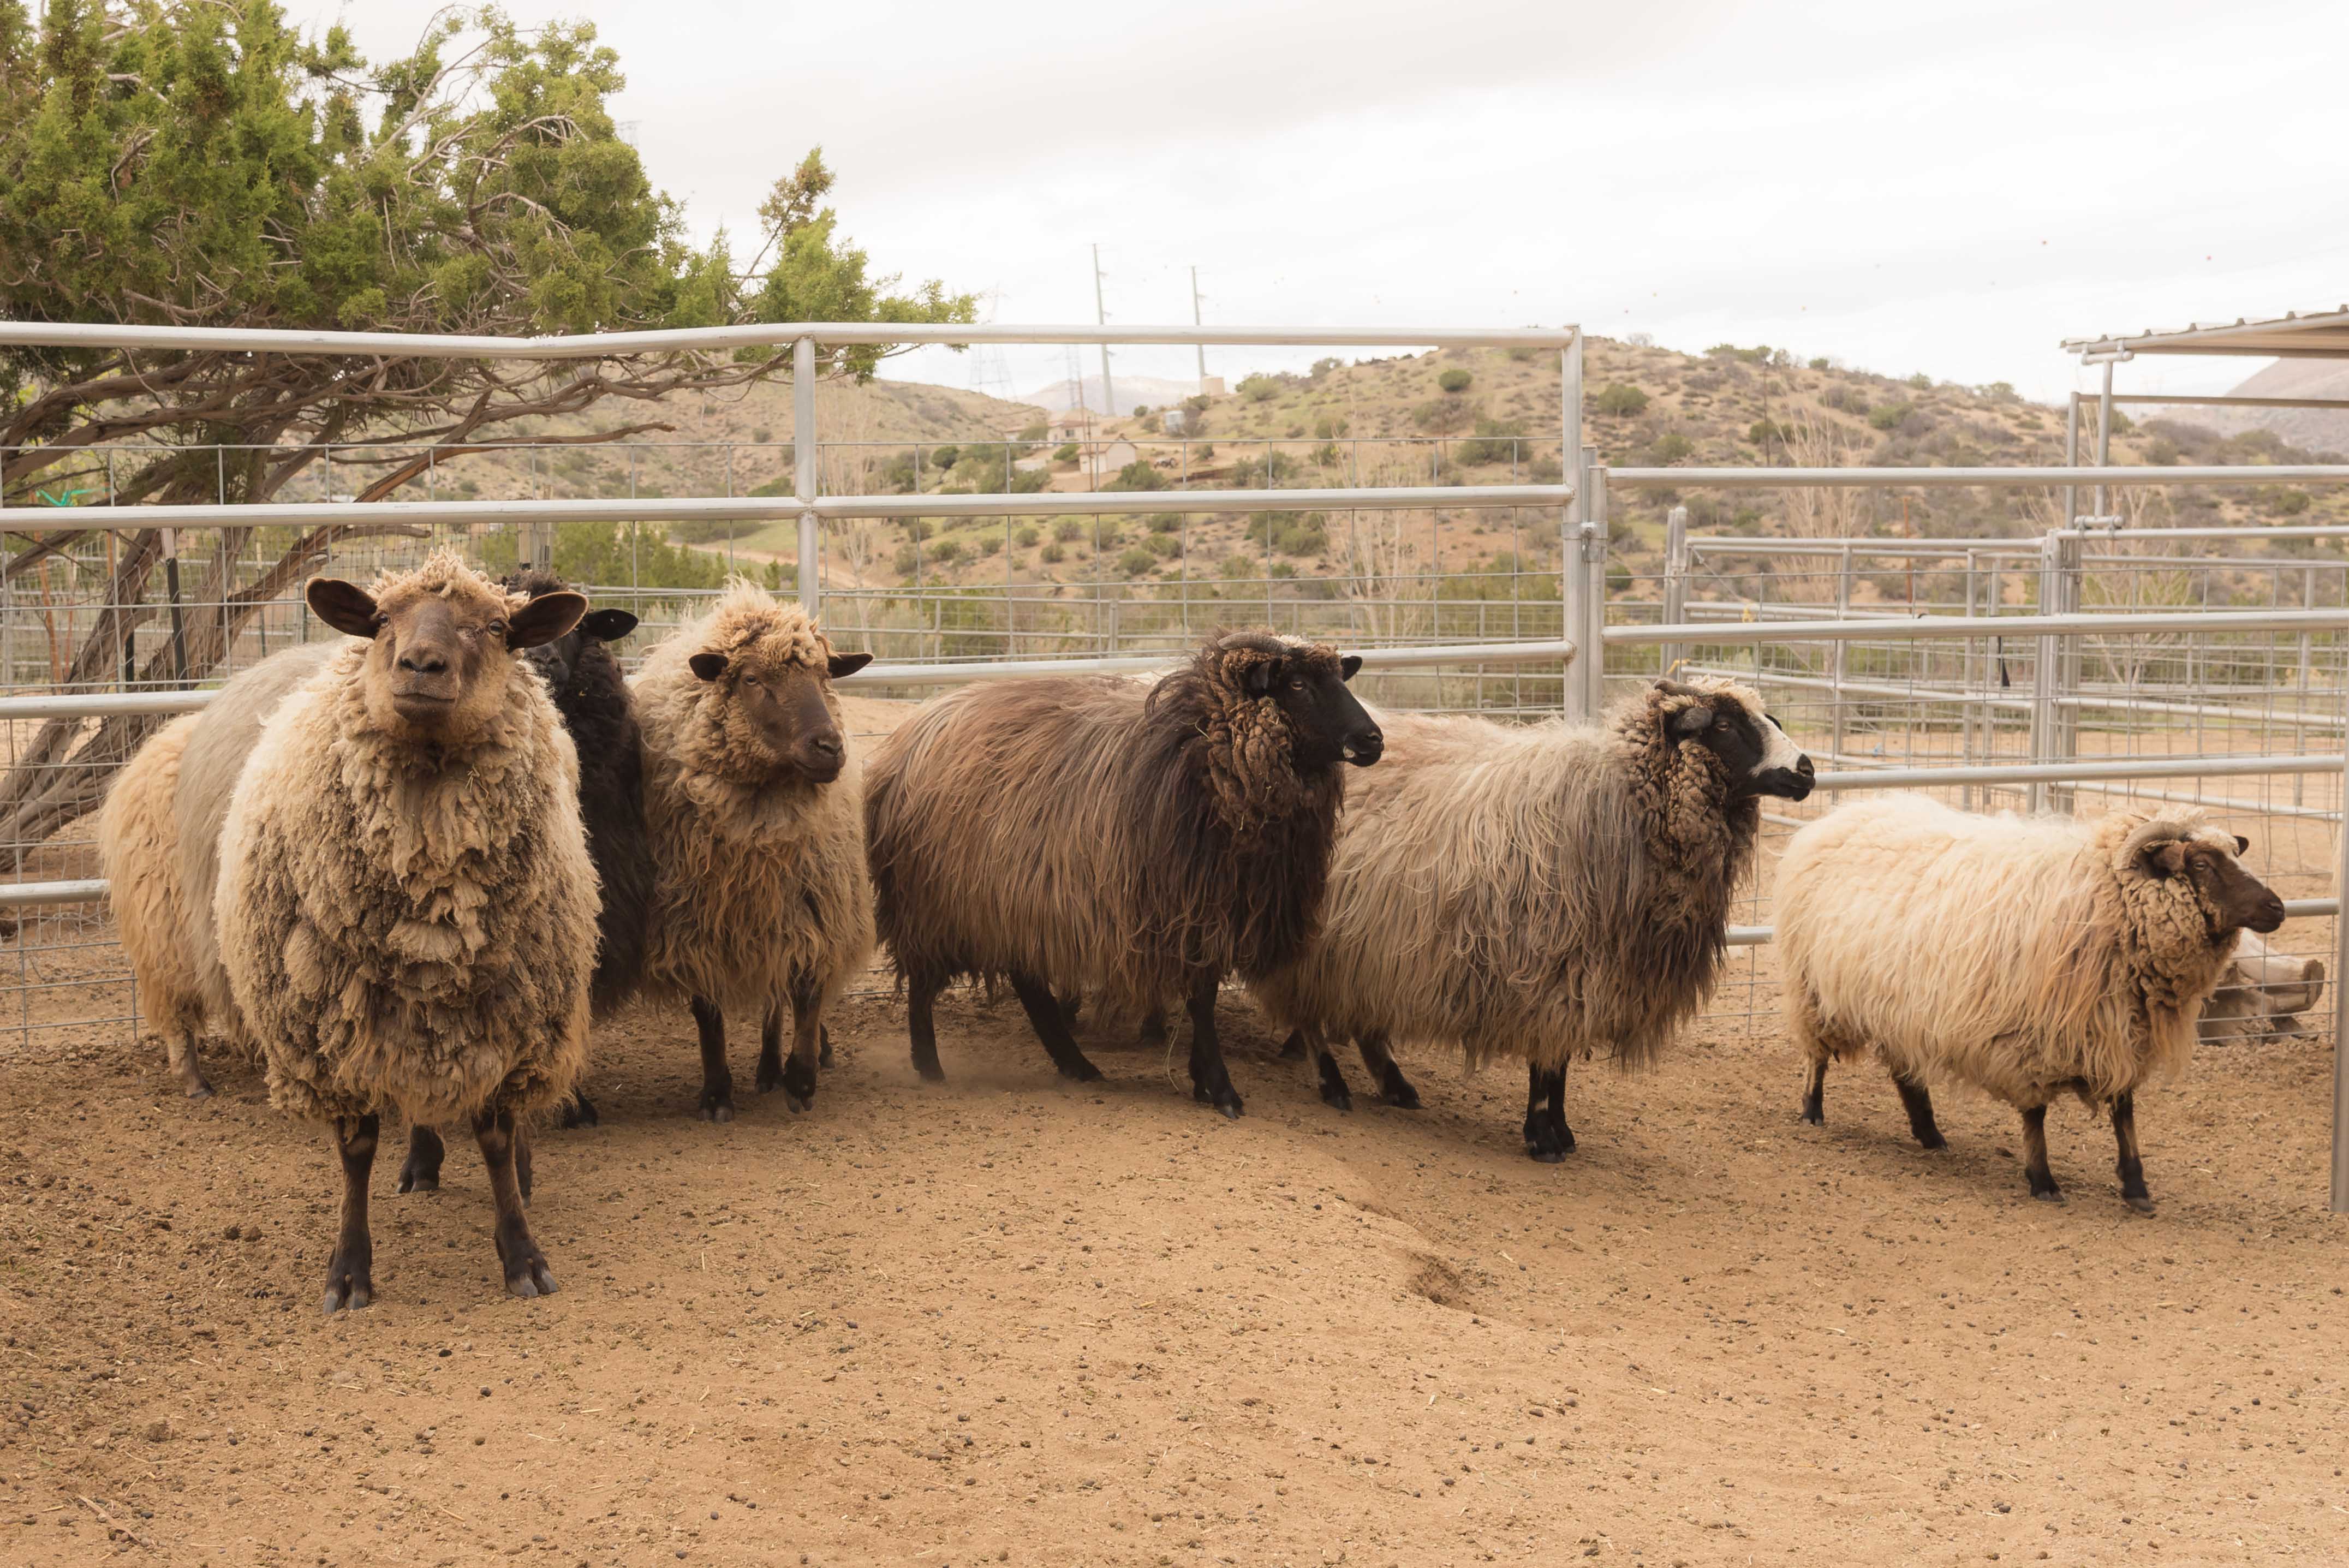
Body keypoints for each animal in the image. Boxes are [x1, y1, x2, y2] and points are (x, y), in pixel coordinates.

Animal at [211, 550, 600, 1308]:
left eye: (497, 626)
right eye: (382, 618)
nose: (421, 664)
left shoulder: (504, 1018)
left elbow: (496, 1134)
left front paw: (522, 1254)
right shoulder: (331, 1034)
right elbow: (357, 1147)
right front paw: (348, 1271)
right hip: (405, 1015)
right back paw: (420, 1162)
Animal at [632, 580, 874, 1123]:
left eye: (825, 675)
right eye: (750, 678)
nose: (830, 747)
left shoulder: (814, 905)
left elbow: (806, 994)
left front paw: (801, 1079)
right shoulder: (692, 922)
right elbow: (708, 1013)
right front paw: (717, 1092)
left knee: (781, 993)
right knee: (770, 995)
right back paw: (765, 1069)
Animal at [863, 630, 1384, 1117]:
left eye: (1341, 679)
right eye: (1296, 684)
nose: (1373, 740)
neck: (1201, 756)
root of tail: (912, 732)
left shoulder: (1217, 907)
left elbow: (1204, 996)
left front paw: (1201, 1076)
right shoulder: (1186, 910)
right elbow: (1202, 1001)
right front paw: (1220, 1088)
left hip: (1010, 899)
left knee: (1028, 984)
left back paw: (1076, 1065)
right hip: (935, 902)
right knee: (924, 985)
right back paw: (930, 1066)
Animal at [1253, 676, 1814, 1160]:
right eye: (1725, 725)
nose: (1808, 770)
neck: (1622, 801)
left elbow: (1558, 1063)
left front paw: (1561, 1131)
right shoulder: (1553, 967)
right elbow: (1548, 1063)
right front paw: (1543, 1136)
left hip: (1372, 942)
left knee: (1362, 1016)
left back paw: (1396, 1086)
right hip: (1317, 939)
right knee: (1312, 1014)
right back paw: (1333, 1083)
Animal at [1778, 794, 2285, 1212]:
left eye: (2234, 854)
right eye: (2200, 863)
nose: (2278, 908)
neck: (2107, 897)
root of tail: (1839, 815)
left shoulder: (2120, 1028)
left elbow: (2125, 1113)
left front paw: (2136, 1187)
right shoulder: (2030, 1036)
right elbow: (2036, 1114)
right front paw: (2043, 1180)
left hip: (1895, 1003)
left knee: (1906, 1073)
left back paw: (1930, 1133)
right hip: (1812, 988)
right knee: (1816, 1057)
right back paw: (1812, 1111)